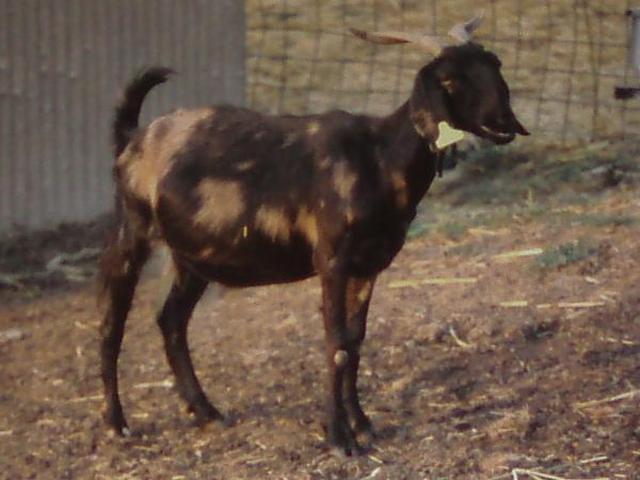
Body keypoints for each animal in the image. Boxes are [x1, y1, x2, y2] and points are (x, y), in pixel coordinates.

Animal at [98, 13, 529, 455]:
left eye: (493, 65)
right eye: (448, 80)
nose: (502, 123)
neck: (379, 157)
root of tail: (133, 136)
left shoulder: (369, 264)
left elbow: (354, 342)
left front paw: (362, 425)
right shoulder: (332, 259)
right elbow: (335, 343)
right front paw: (340, 437)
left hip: (193, 257)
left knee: (171, 320)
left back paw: (207, 412)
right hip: (131, 231)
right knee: (112, 323)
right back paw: (117, 424)